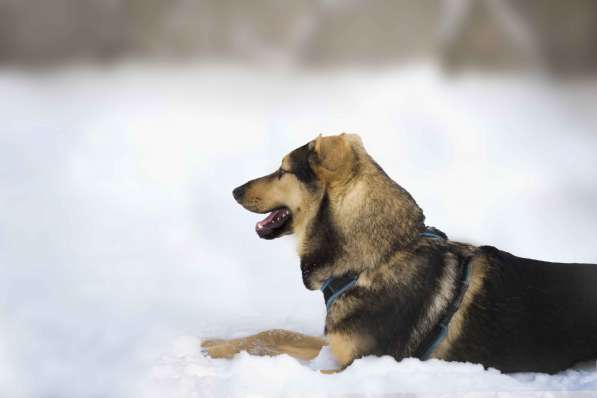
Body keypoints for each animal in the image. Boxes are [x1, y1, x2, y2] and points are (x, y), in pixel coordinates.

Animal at [201, 133, 596, 374]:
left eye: (283, 170)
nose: (235, 191)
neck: (375, 260)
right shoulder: (337, 345)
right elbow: (274, 333)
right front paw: (215, 345)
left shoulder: (359, 364)